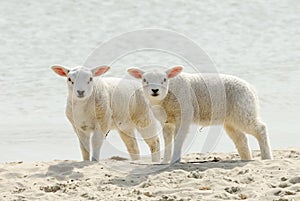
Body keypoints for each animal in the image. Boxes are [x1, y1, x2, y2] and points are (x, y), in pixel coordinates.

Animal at [127, 66, 274, 163]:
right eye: (144, 80)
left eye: (164, 79)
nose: (155, 90)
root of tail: (251, 88)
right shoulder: (166, 121)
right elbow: (167, 140)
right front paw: (165, 161)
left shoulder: (184, 114)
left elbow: (178, 139)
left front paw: (175, 160)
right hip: (231, 119)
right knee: (241, 139)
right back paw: (246, 159)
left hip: (243, 110)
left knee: (260, 129)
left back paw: (266, 158)